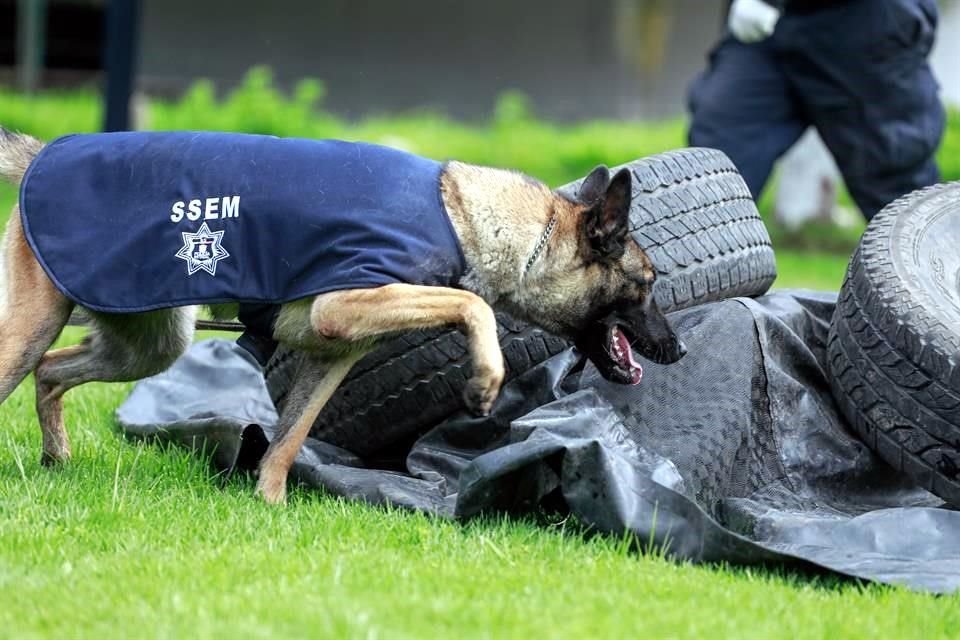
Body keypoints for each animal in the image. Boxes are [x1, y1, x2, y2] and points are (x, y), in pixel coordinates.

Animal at [0, 129, 684, 504]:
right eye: (648, 285)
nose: (677, 351)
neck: (466, 217)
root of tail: (46, 151)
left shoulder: (331, 352)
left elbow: (288, 439)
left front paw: (268, 508)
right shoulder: (344, 304)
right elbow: (473, 304)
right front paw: (486, 375)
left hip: (150, 344)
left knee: (53, 372)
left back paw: (56, 459)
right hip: (30, 334)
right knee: (35, 366)